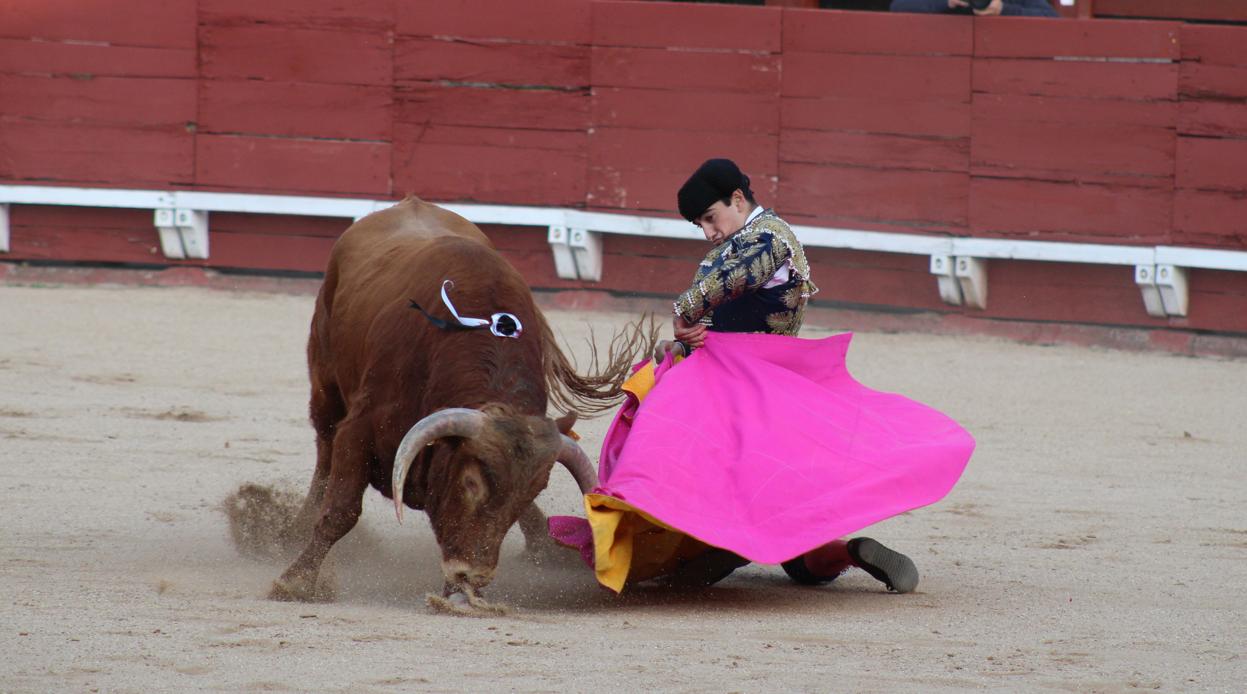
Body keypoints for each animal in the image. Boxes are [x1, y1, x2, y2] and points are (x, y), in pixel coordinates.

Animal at [268, 194, 648, 600]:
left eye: (530, 493)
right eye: (470, 482)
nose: (473, 575)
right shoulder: (359, 428)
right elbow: (340, 511)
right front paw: (295, 580)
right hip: (325, 384)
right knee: (324, 449)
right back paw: (294, 528)